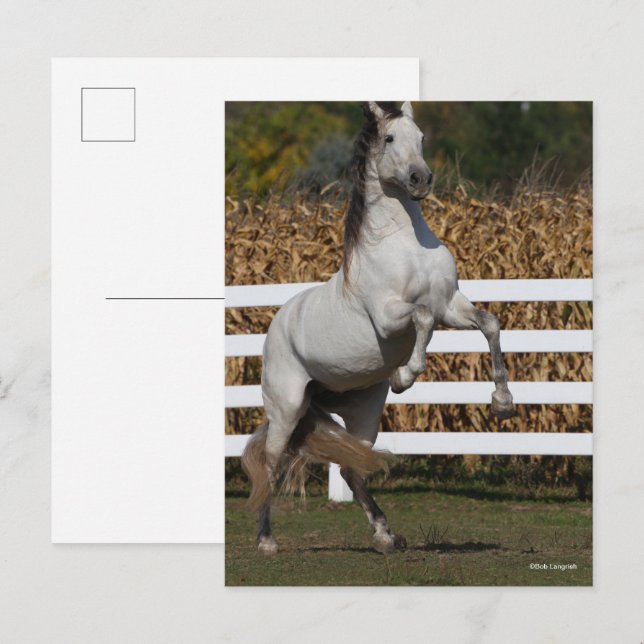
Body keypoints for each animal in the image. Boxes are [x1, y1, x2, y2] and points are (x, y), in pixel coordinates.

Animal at [242, 101, 516, 555]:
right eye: (389, 138)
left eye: (421, 137)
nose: (421, 179)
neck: (406, 243)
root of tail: (277, 323)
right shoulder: (391, 317)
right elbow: (421, 319)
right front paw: (405, 376)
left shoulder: (450, 304)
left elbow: (489, 324)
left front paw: (503, 401)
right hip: (286, 408)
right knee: (273, 465)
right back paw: (266, 541)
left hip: (364, 410)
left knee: (352, 470)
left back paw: (386, 536)